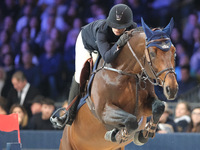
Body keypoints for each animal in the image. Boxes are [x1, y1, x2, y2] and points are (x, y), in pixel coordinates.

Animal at [59, 18, 178, 149]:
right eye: (152, 53)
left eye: (174, 52)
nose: (172, 89)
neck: (126, 72)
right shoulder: (103, 111)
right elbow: (131, 120)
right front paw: (119, 135)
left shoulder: (144, 107)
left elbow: (159, 107)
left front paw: (144, 134)